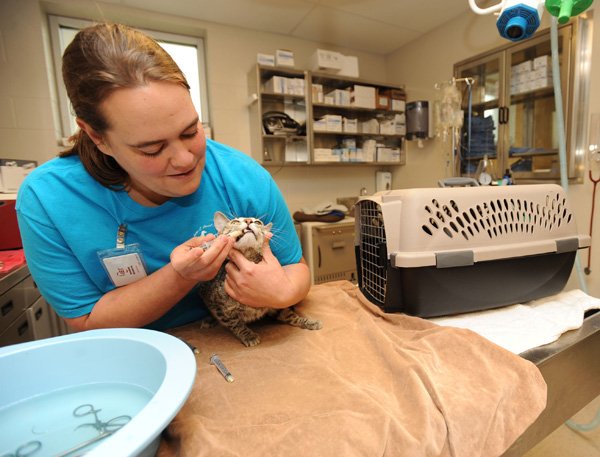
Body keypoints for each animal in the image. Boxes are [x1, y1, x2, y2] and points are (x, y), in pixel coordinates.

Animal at [198, 211, 324, 346]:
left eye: (258, 222)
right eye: (235, 221)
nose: (248, 220)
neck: (250, 258)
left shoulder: (275, 302)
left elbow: (289, 315)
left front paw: (307, 322)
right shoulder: (218, 306)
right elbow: (235, 323)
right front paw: (248, 335)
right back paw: (209, 320)